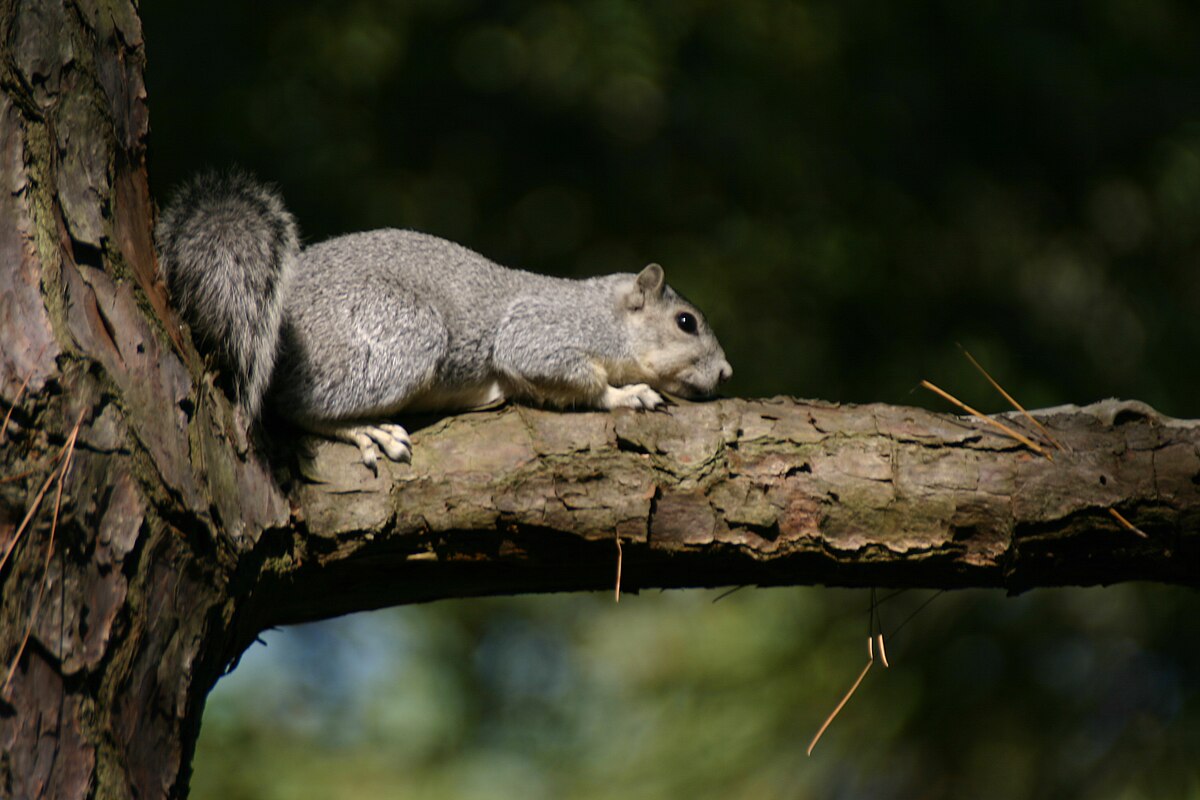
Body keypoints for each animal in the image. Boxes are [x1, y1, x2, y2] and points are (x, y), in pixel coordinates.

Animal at [152, 170, 729, 470]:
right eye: (685, 322)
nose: (726, 373)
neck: (602, 312)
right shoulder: (540, 333)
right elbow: (567, 375)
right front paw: (627, 394)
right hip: (400, 335)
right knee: (292, 406)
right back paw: (365, 430)